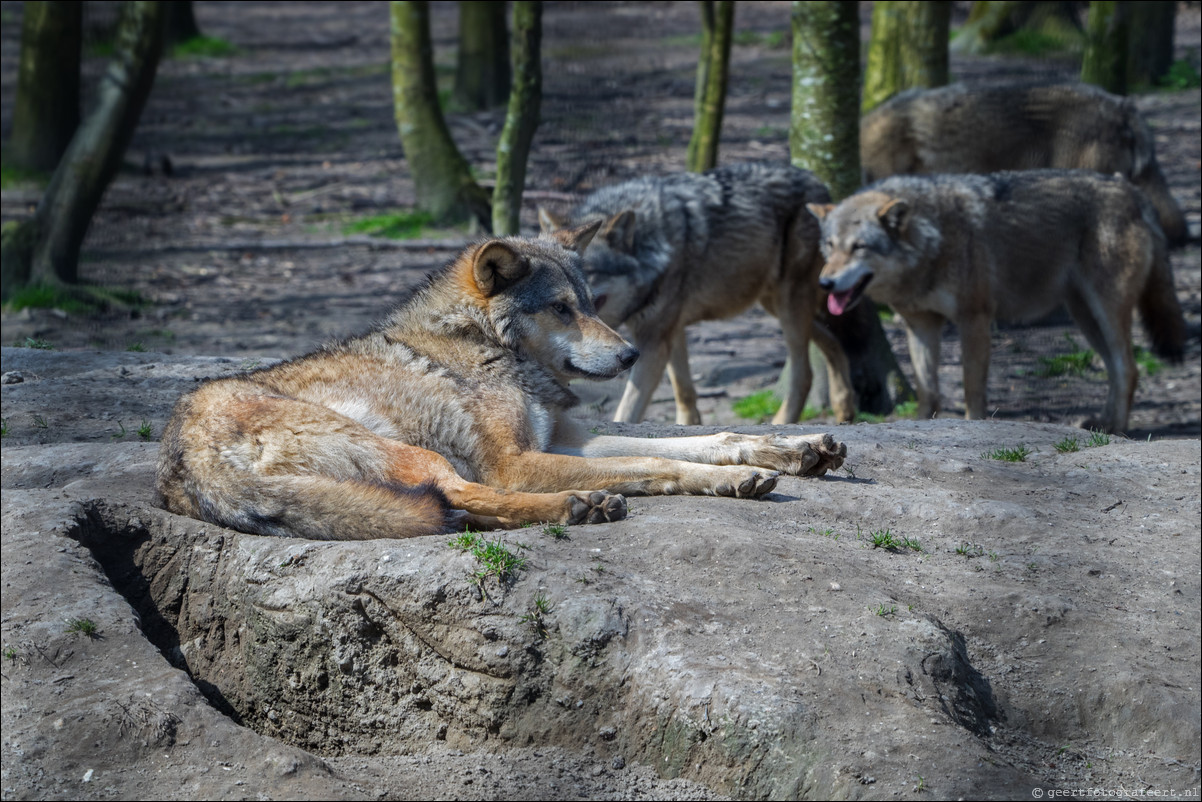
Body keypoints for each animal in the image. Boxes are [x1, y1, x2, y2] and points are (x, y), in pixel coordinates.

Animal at [157, 222, 846, 543]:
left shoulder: (564, 439)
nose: (629, 355)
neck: (486, 346)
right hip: (408, 451)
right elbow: (661, 463)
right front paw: (734, 479)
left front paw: (794, 450)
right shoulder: (518, 461)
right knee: (462, 494)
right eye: (561, 309)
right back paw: (578, 506)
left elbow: (697, 441)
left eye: (592, 303)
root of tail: (184, 465)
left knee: (451, 507)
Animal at [540, 161, 860, 425]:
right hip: (775, 304)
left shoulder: (654, 340)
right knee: (833, 342)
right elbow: (684, 391)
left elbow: (627, 411)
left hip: (787, 305)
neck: (653, 245)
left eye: (587, 272)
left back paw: (783, 424)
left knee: (804, 374)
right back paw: (844, 406)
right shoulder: (671, 332)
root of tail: (820, 185)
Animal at [812, 168, 1187, 432]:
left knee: (1128, 367)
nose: (824, 282)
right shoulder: (920, 325)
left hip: (1106, 310)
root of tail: (1132, 191)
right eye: (830, 245)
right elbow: (927, 389)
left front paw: (970, 426)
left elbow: (971, 387)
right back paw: (1103, 424)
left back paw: (1118, 428)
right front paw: (920, 424)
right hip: (1085, 317)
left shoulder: (975, 319)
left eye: (859, 247)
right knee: (1114, 367)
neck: (932, 238)